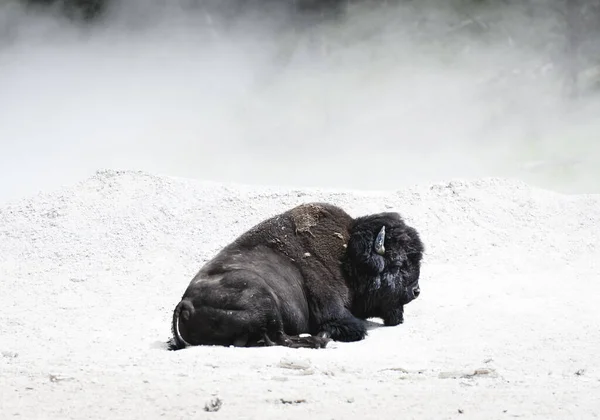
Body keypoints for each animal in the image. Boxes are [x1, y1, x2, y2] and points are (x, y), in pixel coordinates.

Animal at [166, 202, 424, 350]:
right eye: (398, 263)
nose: (416, 291)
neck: (348, 256)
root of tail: (186, 302)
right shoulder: (333, 311)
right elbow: (348, 325)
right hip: (263, 301)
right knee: (281, 338)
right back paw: (318, 340)